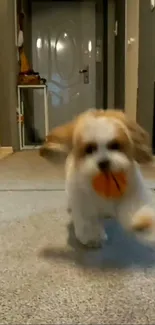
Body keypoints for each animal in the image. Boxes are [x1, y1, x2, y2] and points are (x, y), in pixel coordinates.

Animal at [41, 107, 155, 247]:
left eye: (115, 145)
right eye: (89, 149)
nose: (103, 162)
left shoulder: (133, 190)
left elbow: (134, 208)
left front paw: (141, 222)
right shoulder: (83, 200)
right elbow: (88, 220)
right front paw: (92, 237)